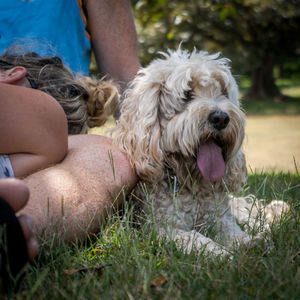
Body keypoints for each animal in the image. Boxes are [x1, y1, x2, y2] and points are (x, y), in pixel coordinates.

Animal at [113, 48, 288, 256]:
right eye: (187, 94)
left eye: (223, 92)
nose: (221, 118)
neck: (192, 184)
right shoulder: (161, 229)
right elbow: (197, 239)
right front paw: (223, 255)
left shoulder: (220, 218)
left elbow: (234, 232)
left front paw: (251, 243)